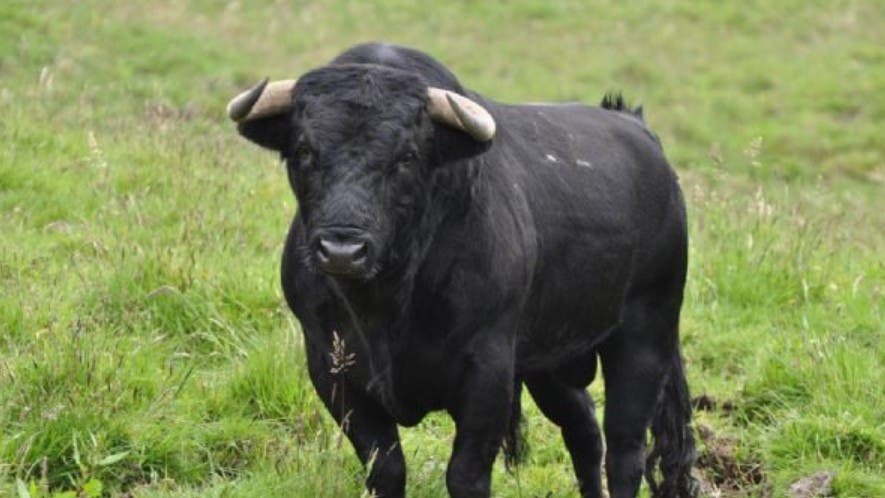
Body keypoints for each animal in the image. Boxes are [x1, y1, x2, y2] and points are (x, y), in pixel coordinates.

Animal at [228, 43, 696, 498]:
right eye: (304, 150)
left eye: (408, 156)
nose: (342, 250)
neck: (385, 307)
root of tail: (634, 126)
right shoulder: (332, 369)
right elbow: (385, 469)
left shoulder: (487, 371)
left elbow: (466, 475)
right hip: (551, 361)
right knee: (583, 429)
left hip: (644, 337)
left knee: (625, 450)